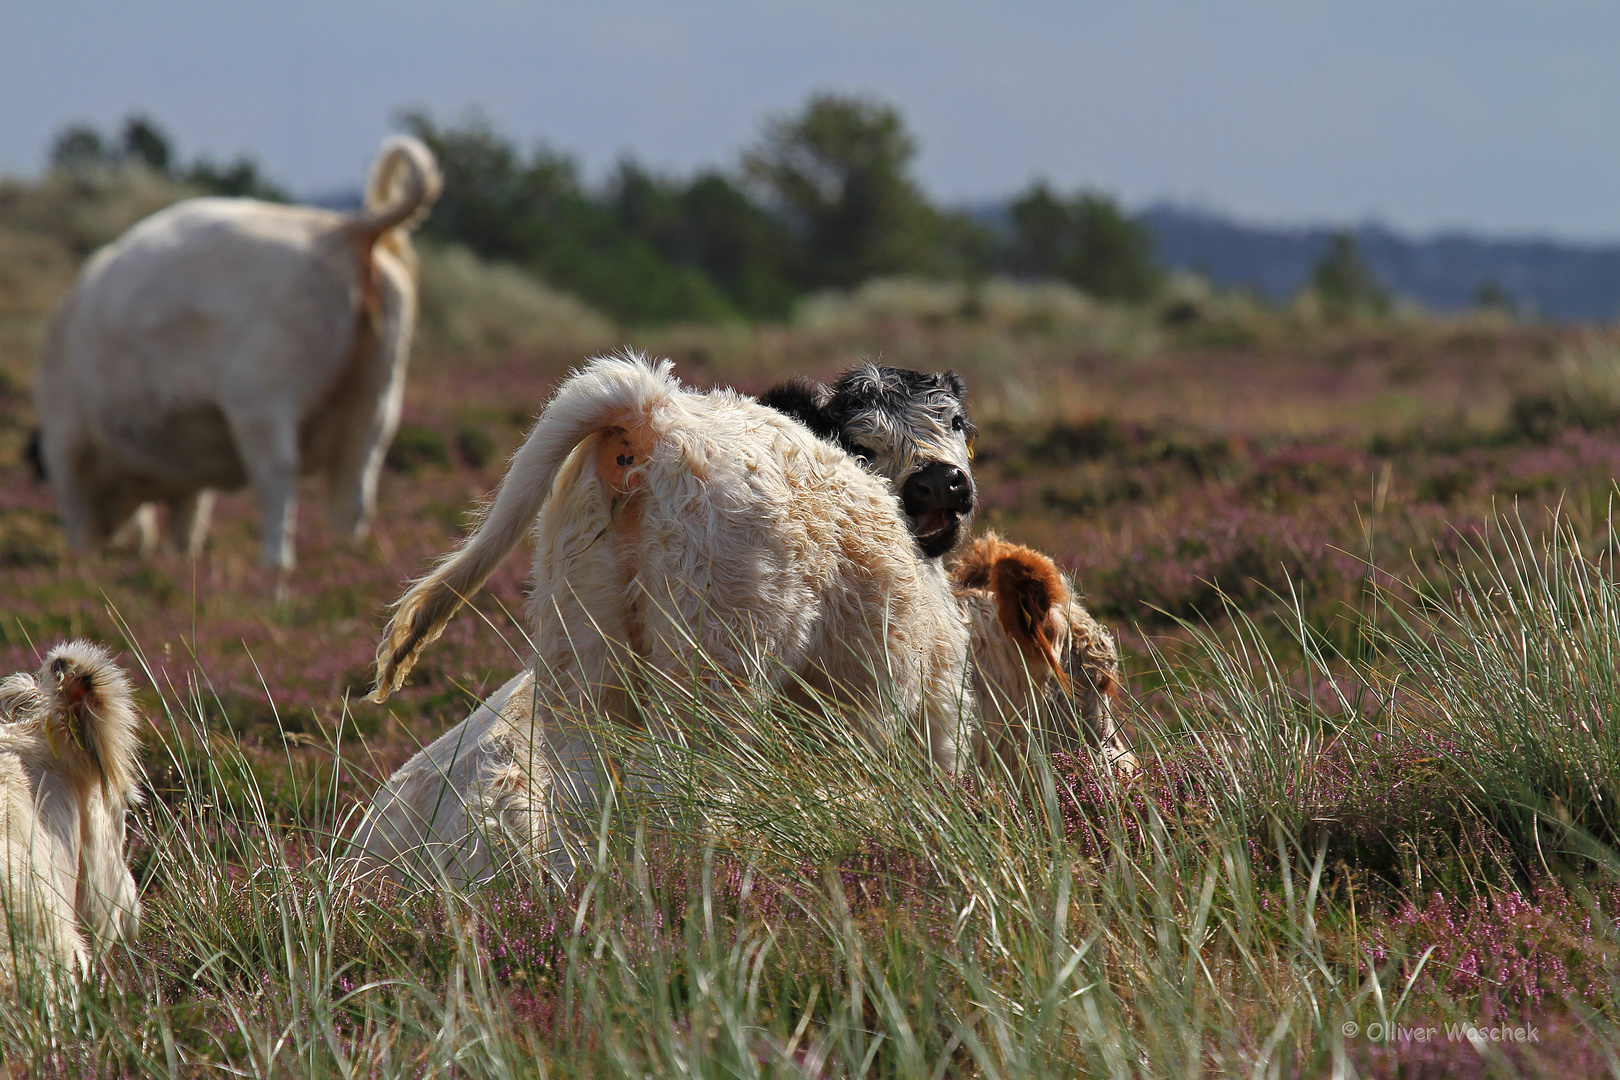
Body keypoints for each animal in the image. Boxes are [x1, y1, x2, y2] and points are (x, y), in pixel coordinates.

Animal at [36, 139, 443, 569]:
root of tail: (342, 230)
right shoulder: (188, 477)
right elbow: (185, 525)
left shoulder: (65, 441)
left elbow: (79, 516)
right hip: (376, 401)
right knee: (354, 492)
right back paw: (343, 557)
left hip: (262, 401)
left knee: (278, 477)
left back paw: (274, 565)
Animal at [361, 354, 972, 887]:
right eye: (863, 441)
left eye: (956, 420)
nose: (943, 481)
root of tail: (653, 411)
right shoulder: (920, 704)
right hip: (712, 668)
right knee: (671, 791)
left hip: (582, 661)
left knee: (580, 794)